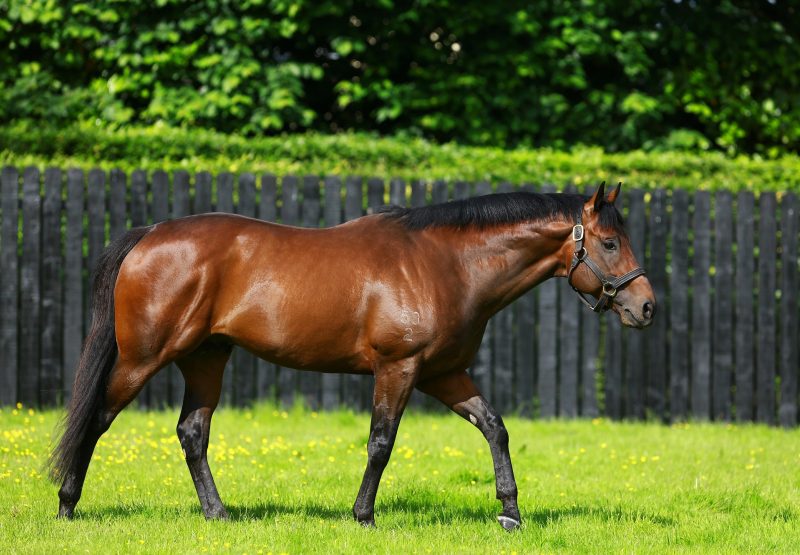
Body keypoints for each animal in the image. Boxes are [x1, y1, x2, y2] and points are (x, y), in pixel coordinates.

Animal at [47, 181, 652, 528]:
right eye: (609, 243)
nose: (645, 307)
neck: (447, 264)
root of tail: (150, 234)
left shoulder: (444, 374)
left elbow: (495, 428)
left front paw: (510, 513)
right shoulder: (398, 368)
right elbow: (381, 443)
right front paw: (363, 517)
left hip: (206, 358)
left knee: (192, 432)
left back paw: (218, 514)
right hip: (142, 358)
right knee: (96, 419)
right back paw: (68, 505)